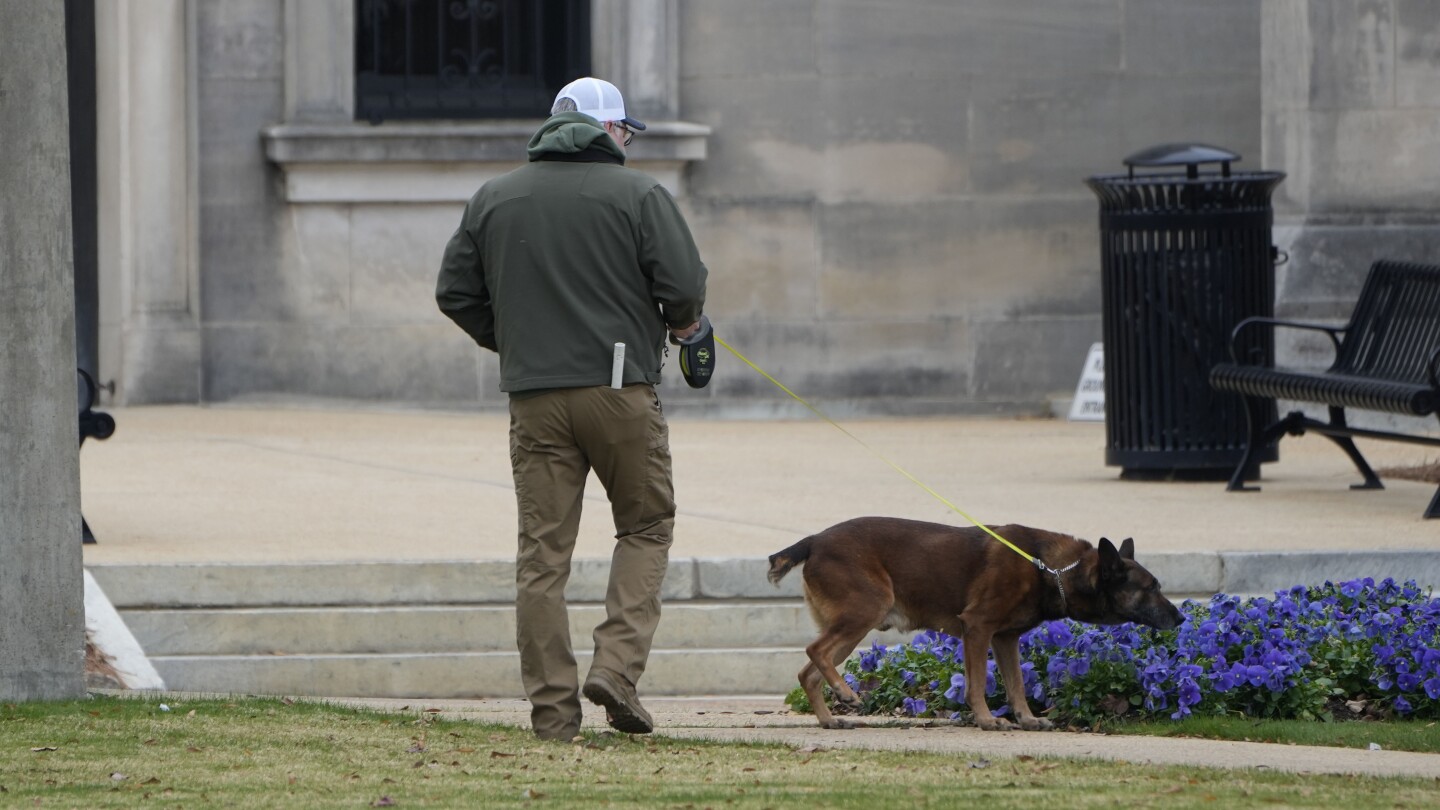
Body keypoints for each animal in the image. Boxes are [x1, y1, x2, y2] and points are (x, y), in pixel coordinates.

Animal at [771, 515, 1186, 732]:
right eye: (1152, 588)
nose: (1182, 617)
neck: (1052, 570)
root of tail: (814, 540)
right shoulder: (978, 629)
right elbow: (977, 685)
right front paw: (987, 720)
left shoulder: (1004, 639)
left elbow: (1016, 685)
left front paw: (1026, 719)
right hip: (866, 610)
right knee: (815, 650)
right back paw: (845, 693)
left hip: (854, 621)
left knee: (807, 672)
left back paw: (829, 719)